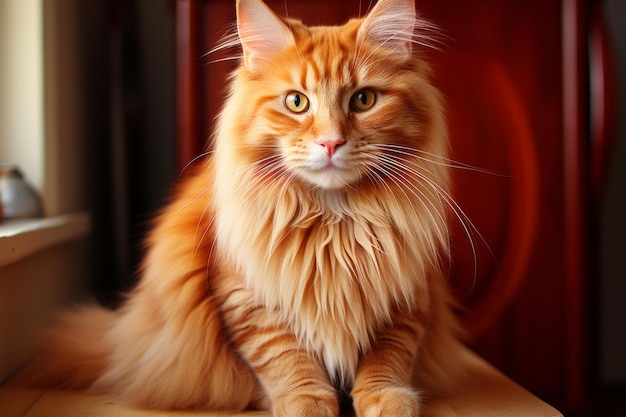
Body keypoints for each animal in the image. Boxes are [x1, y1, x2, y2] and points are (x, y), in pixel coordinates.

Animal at [25, 0, 464, 414]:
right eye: (296, 102)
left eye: (363, 100)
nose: (331, 143)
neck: (334, 221)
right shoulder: (245, 296)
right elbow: (284, 357)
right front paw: (305, 402)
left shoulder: (405, 292)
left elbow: (387, 358)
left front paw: (386, 398)